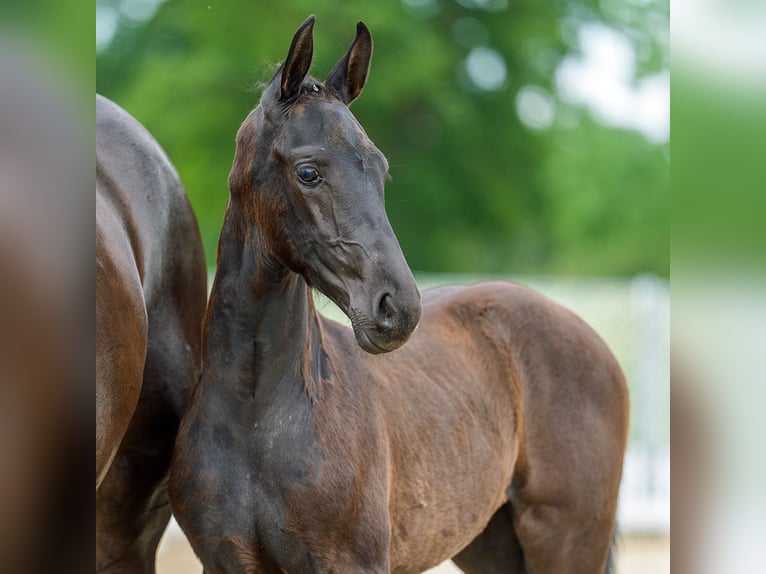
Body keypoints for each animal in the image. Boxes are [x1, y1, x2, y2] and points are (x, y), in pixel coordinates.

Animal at [169, 16, 629, 574]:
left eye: (380, 169)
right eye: (308, 171)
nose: (399, 308)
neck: (257, 414)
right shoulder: (227, 562)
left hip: (566, 540)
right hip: (493, 543)